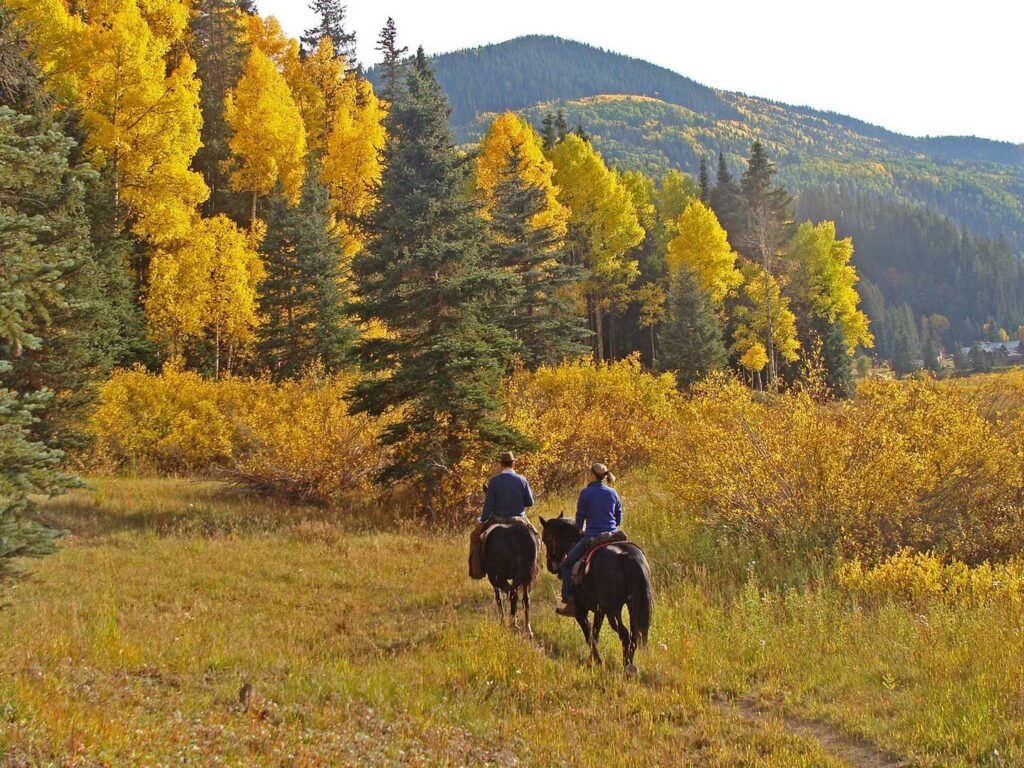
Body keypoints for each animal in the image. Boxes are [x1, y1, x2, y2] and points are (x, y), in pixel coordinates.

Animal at [540, 518, 651, 671]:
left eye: (546, 539)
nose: (550, 566)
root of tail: (627, 556)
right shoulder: (600, 611)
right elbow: (595, 634)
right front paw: (592, 659)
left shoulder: (580, 611)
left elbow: (588, 635)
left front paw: (597, 661)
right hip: (631, 607)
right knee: (634, 636)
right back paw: (630, 666)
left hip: (613, 610)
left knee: (625, 635)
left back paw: (626, 667)